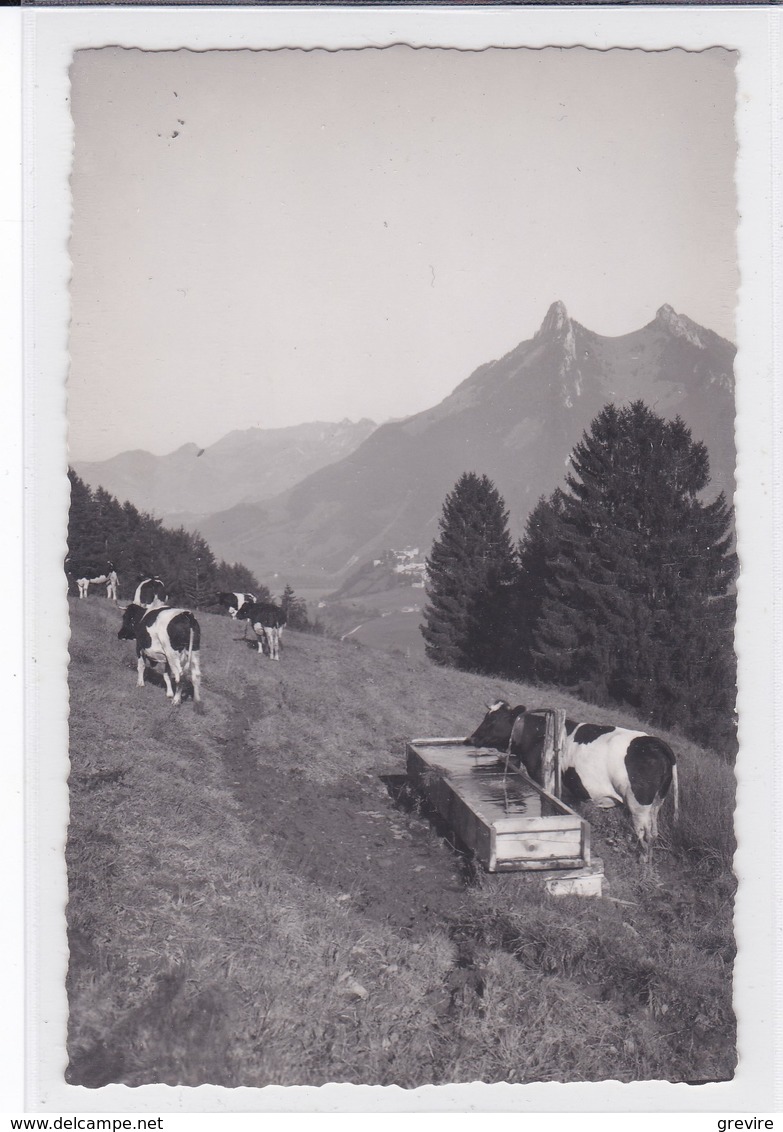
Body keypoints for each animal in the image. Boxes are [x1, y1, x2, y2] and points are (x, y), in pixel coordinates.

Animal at [463, 697, 678, 855]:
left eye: (492, 720)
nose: (470, 739)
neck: (535, 735)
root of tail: (655, 741)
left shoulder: (545, 782)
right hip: (657, 803)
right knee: (653, 834)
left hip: (638, 804)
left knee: (644, 835)